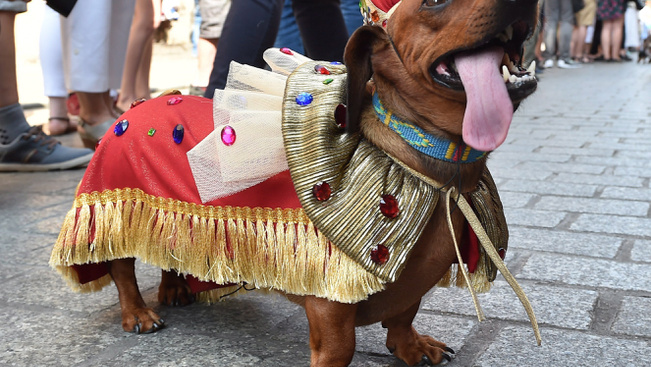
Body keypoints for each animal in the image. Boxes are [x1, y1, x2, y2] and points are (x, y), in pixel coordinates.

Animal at [52, 0, 540, 366]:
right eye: (435, 0)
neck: (431, 169)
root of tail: (139, 104)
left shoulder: (410, 284)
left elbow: (403, 315)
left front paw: (412, 346)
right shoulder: (330, 300)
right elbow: (340, 347)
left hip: (174, 217)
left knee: (171, 248)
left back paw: (174, 287)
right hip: (114, 209)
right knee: (122, 270)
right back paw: (138, 312)